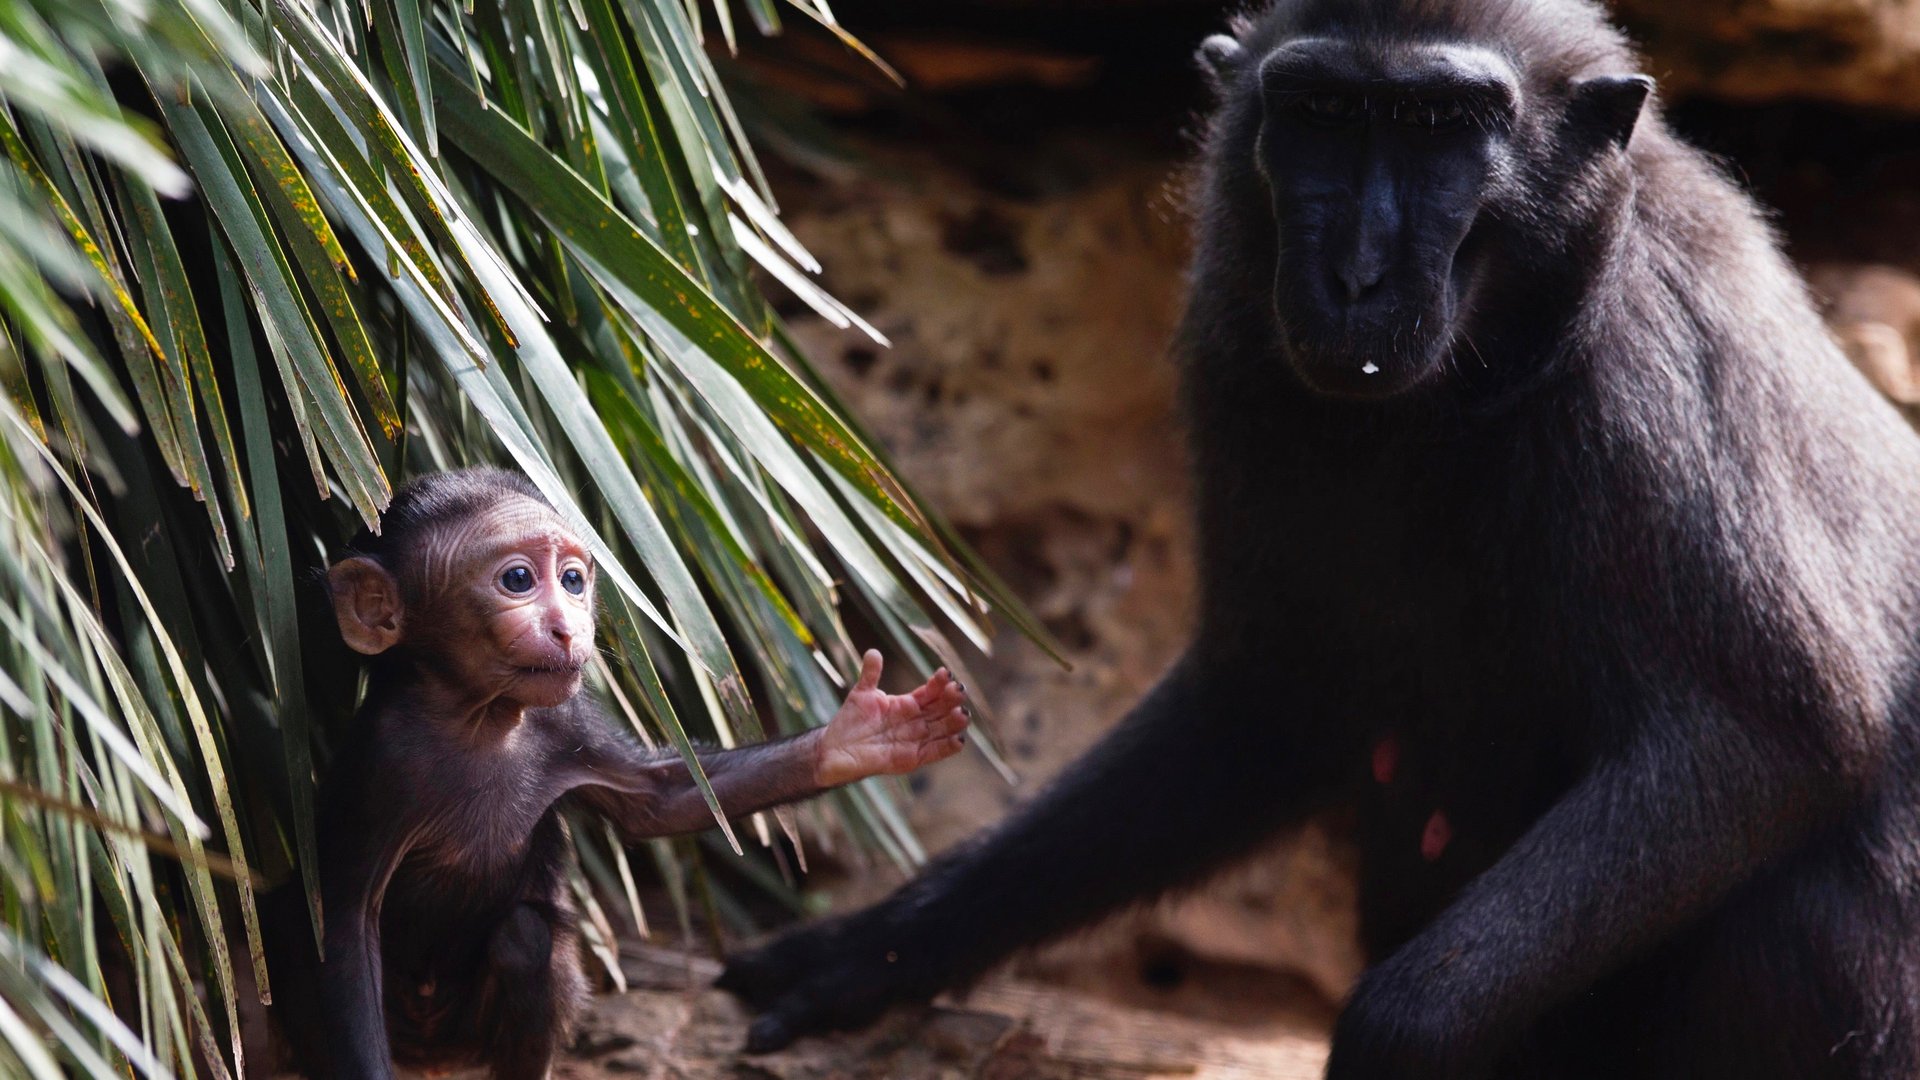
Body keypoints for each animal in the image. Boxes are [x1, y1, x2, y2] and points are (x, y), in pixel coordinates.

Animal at [261, 466, 971, 1080]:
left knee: (525, 938)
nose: (567, 626)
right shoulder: (380, 768)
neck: (477, 723)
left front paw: (866, 736)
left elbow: (663, 799)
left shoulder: (565, 723)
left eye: (574, 580)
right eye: (518, 579)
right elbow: (341, 924)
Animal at [718, 1, 1920, 1076]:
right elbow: (1265, 707)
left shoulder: (1641, 361)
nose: (1356, 278)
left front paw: (1394, 1035)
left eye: (1439, 124)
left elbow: (1771, 734)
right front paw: (874, 952)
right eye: (1325, 113)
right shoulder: (1237, 353)